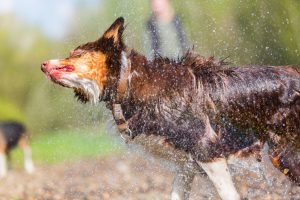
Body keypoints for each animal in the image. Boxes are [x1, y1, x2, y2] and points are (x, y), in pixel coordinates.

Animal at [41, 17, 300, 200]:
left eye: (76, 53)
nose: (43, 64)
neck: (129, 81)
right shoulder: (187, 164)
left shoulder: (206, 150)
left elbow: (228, 193)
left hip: (285, 153)